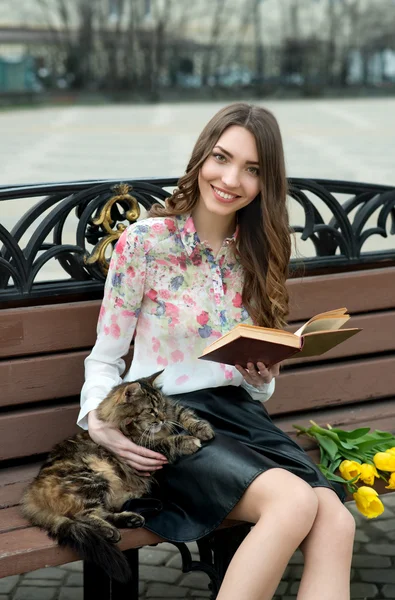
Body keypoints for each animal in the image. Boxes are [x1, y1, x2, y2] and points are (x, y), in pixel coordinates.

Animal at [21, 372, 215, 584]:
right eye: (150, 411)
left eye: (162, 407)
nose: (162, 419)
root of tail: (31, 493)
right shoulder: (145, 449)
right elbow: (169, 441)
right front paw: (189, 441)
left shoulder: (173, 411)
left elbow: (184, 414)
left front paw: (203, 429)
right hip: (94, 479)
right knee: (85, 516)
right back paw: (111, 530)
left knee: (102, 513)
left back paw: (130, 520)